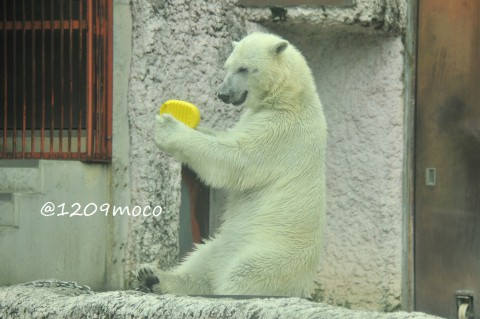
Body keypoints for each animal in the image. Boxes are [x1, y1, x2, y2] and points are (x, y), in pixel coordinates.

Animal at [137, 31, 328, 298]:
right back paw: (153, 276)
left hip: (274, 254)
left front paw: (168, 126)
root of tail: (303, 287)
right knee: (200, 260)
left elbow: (236, 159)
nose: (223, 94)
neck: (292, 96)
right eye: (227, 66)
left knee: (246, 273)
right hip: (222, 244)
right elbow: (225, 138)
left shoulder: (280, 131)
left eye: (244, 68)